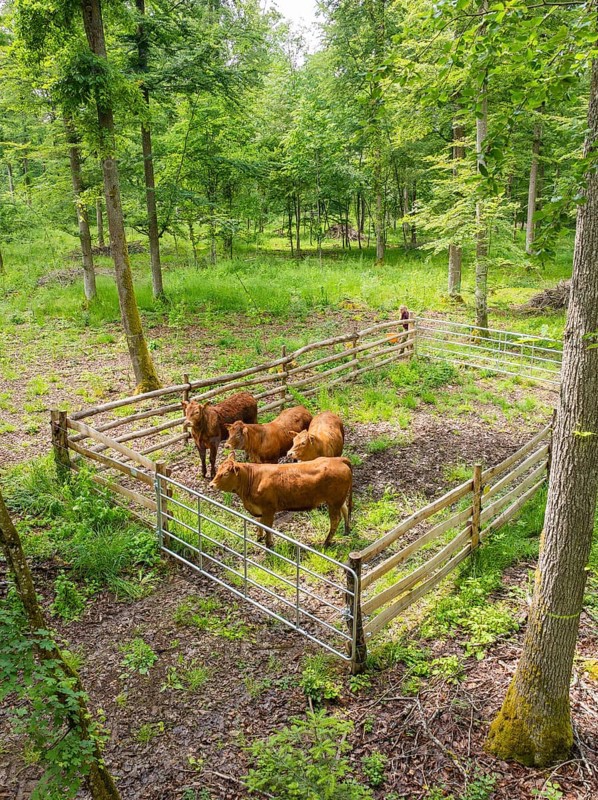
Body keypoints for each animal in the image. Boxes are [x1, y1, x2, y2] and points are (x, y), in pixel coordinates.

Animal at [210, 454, 352, 548]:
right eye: (218, 470)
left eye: (226, 474)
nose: (211, 485)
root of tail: (338, 459)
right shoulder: (259, 508)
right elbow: (259, 522)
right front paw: (259, 537)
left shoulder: (269, 509)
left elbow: (267, 527)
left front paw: (269, 544)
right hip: (338, 500)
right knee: (345, 510)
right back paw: (346, 530)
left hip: (333, 502)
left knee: (335, 520)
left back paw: (326, 542)